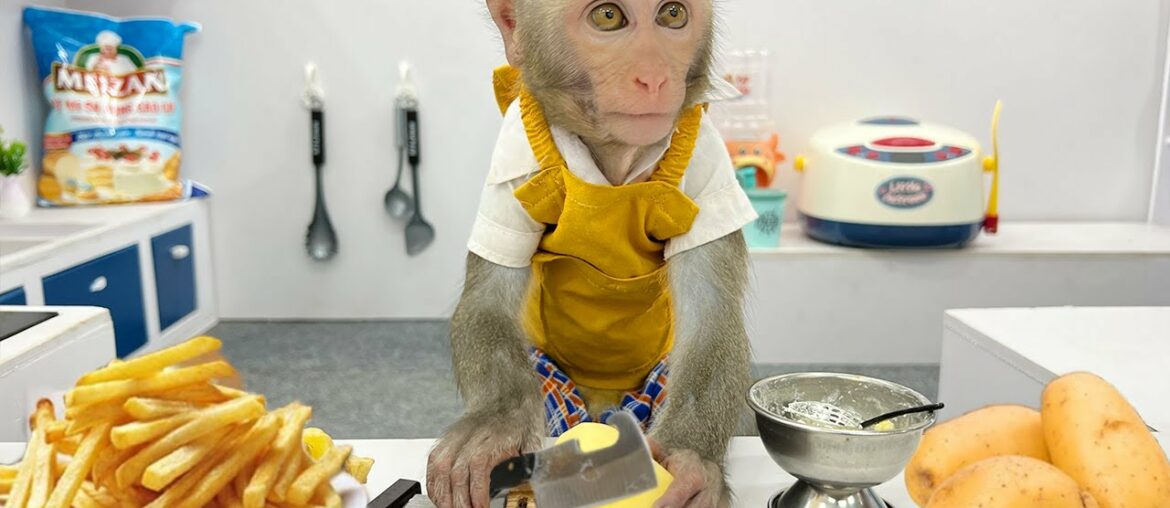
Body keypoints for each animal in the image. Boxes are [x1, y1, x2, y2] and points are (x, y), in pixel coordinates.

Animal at [427, 1, 754, 507]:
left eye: (673, 15)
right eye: (607, 17)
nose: (654, 77)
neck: (615, 163)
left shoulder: (708, 164)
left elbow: (712, 313)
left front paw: (691, 460)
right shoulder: (511, 161)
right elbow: (488, 299)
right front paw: (494, 424)